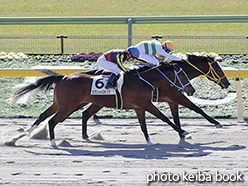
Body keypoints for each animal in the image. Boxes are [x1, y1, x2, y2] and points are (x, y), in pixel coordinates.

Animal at [13, 62, 196, 147]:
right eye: (184, 76)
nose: (191, 90)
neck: (143, 80)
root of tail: (63, 77)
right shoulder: (146, 103)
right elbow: (165, 118)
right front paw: (184, 132)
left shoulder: (139, 107)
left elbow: (143, 125)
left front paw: (150, 142)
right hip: (67, 106)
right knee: (52, 121)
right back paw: (52, 142)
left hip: (61, 104)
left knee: (43, 115)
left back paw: (27, 132)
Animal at [81, 54, 231, 142]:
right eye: (218, 68)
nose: (227, 83)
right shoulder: (177, 96)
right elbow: (197, 109)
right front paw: (216, 122)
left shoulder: (172, 100)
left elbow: (176, 118)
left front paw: (182, 134)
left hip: (98, 102)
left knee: (86, 113)